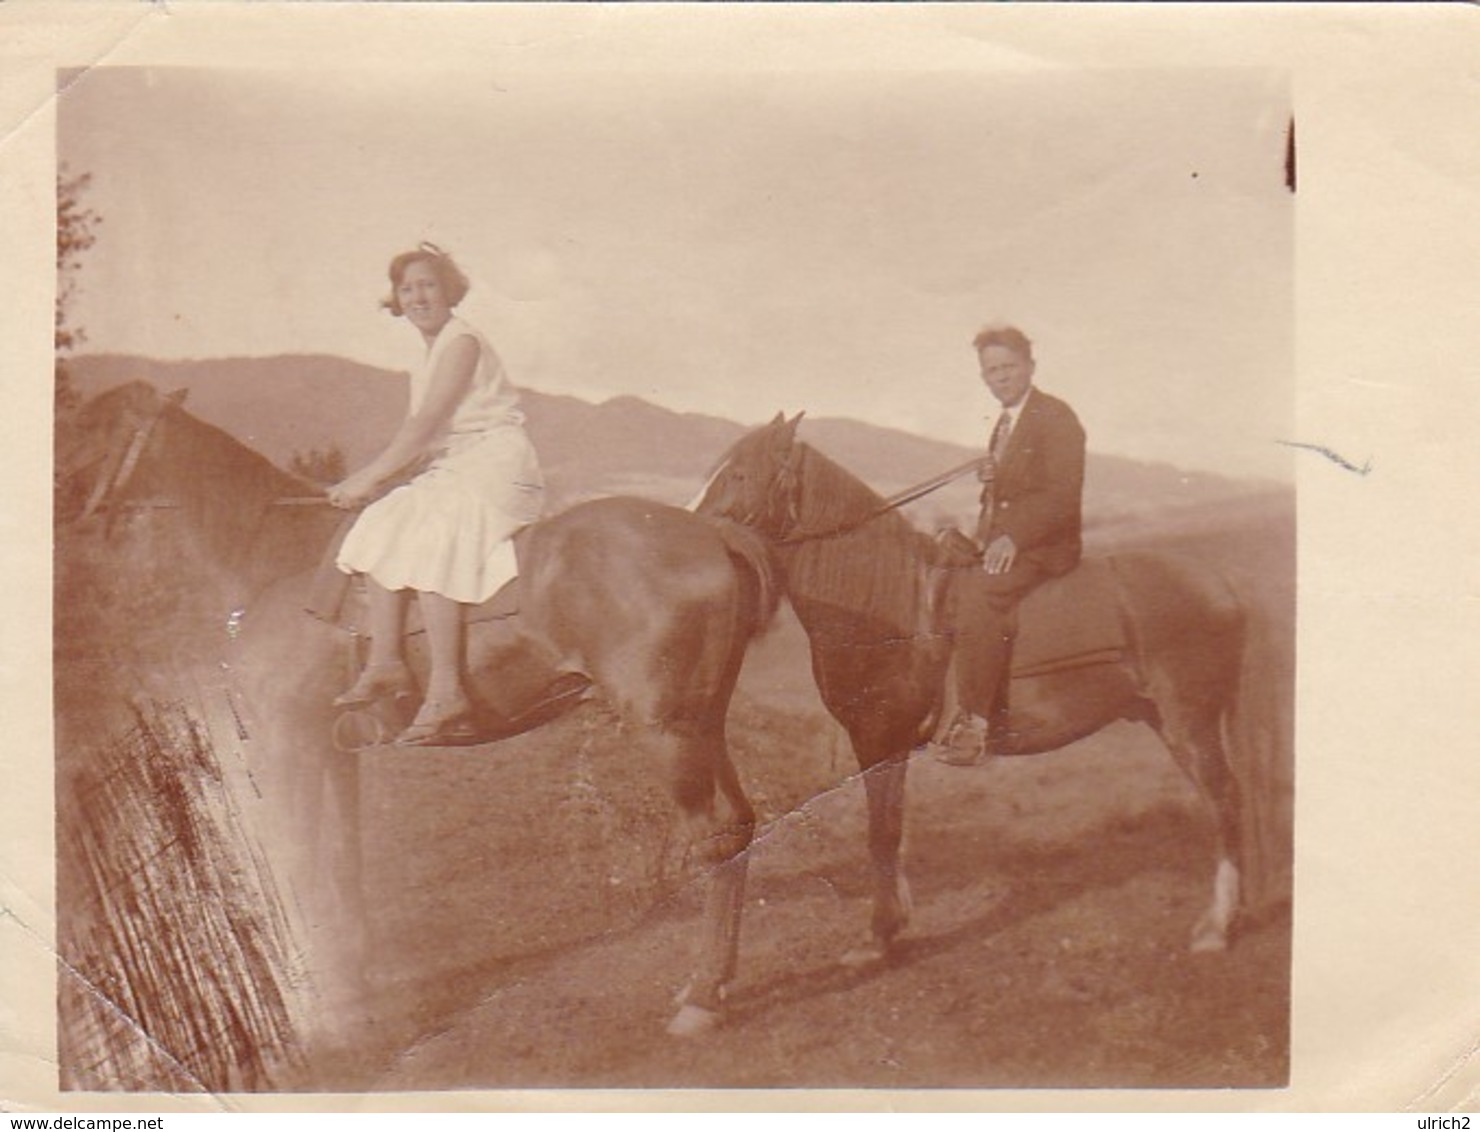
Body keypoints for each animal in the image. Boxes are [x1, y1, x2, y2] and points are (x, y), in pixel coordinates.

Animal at [53, 384, 781, 1035]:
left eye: (88, 423)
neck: (277, 560)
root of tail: (709, 532)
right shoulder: (332, 750)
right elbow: (344, 865)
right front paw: (355, 983)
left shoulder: (288, 744)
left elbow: (302, 868)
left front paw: (331, 1006)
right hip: (703, 724)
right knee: (741, 825)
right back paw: (717, 982)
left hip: (666, 730)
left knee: (716, 835)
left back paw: (700, 998)